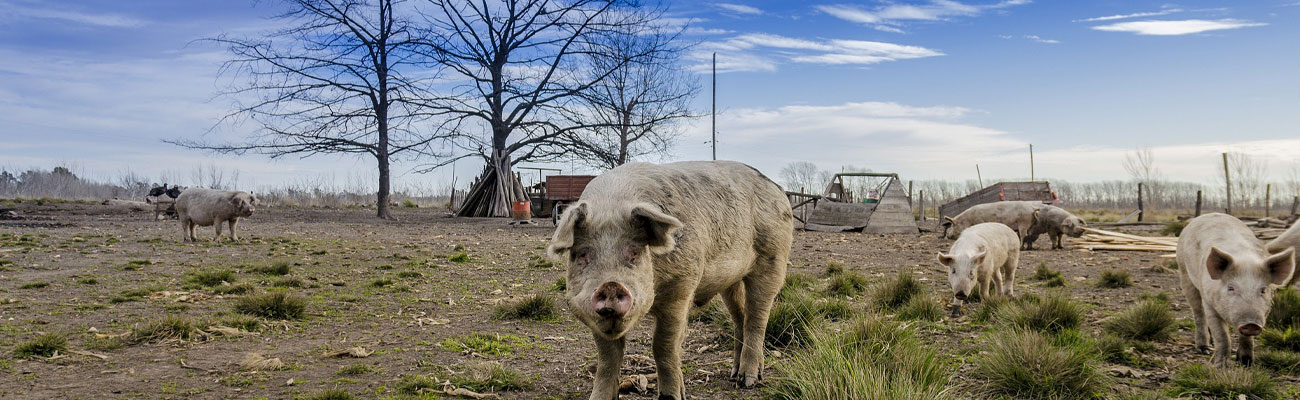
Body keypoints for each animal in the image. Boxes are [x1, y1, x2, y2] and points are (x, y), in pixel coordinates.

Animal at [1175, 214, 1294, 366]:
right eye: (1231, 288)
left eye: (1263, 290)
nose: (1251, 324)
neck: (1244, 259)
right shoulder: (1210, 304)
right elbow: (1223, 336)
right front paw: (1220, 367)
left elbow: (1246, 338)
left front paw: (1246, 363)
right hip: (1184, 272)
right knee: (1198, 313)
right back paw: (1204, 349)